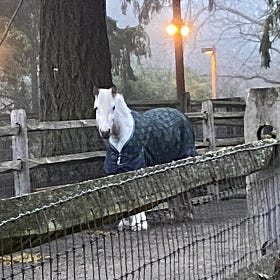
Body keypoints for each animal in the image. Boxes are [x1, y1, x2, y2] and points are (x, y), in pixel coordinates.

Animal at [94, 86, 197, 231]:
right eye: (96, 108)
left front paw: (139, 224)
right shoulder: (118, 172)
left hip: (184, 158)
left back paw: (188, 214)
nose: (104, 132)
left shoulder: (136, 168)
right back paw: (174, 214)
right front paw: (124, 223)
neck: (121, 141)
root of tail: (182, 115)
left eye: (113, 107)